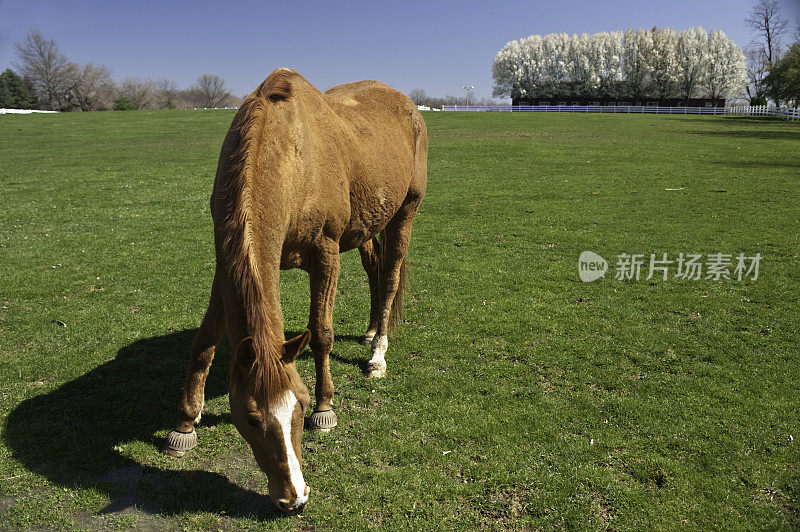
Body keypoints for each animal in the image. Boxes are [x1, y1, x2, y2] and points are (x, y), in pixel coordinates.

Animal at [161, 68, 424, 512]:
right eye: (252, 419)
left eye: (300, 407)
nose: (295, 498)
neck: (290, 159)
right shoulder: (227, 265)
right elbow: (204, 343)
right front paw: (184, 424)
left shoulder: (326, 252)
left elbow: (321, 333)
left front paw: (326, 408)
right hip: (368, 221)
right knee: (374, 267)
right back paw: (371, 330)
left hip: (405, 211)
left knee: (389, 278)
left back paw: (377, 353)